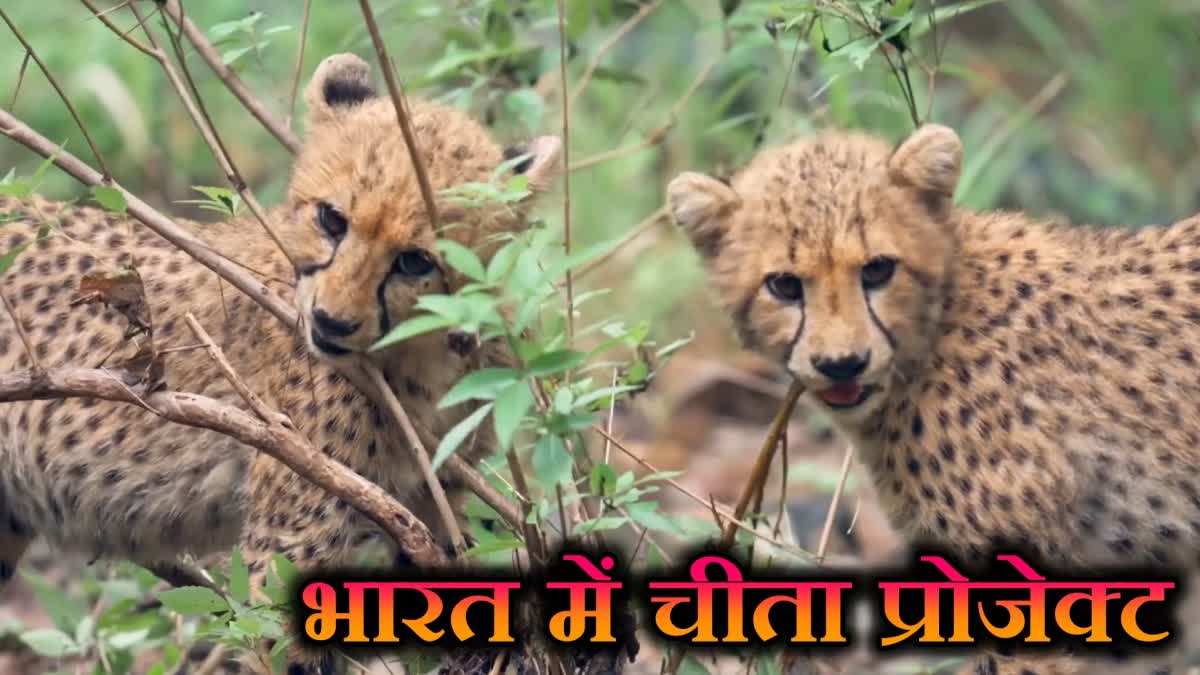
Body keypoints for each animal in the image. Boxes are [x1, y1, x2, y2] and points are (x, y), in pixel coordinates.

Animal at [0, 52, 561, 674]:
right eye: (333, 219)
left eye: (415, 261)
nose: (331, 321)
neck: (424, 352)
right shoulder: (292, 540)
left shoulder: (426, 505)